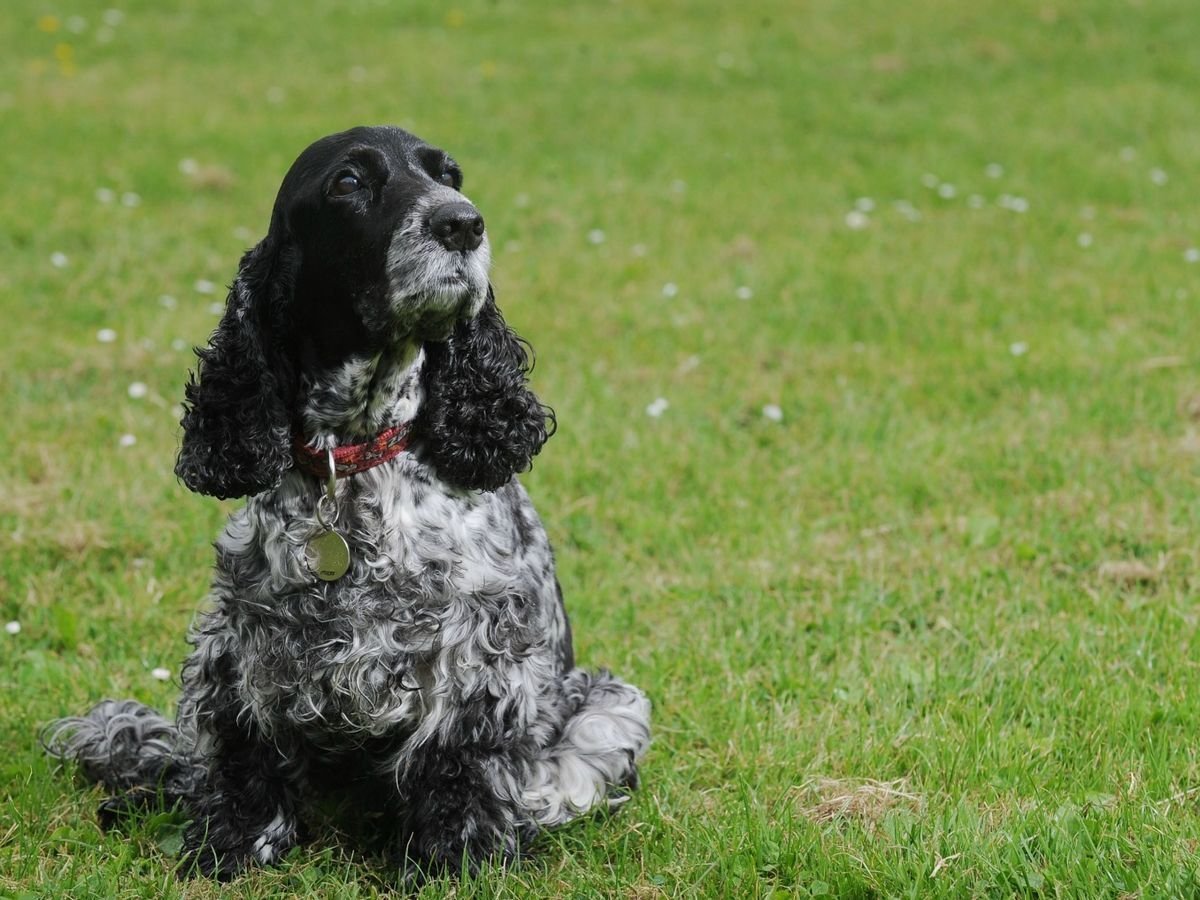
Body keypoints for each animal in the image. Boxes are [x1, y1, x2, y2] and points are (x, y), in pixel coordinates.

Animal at [46, 127, 652, 883]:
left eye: (449, 175)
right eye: (349, 183)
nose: (463, 222)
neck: (355, 456)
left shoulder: (478, 651)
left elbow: (461, 762)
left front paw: (459, 860)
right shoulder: (242, 644)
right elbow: (245, 756)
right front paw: (233, 845)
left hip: (611, 708)